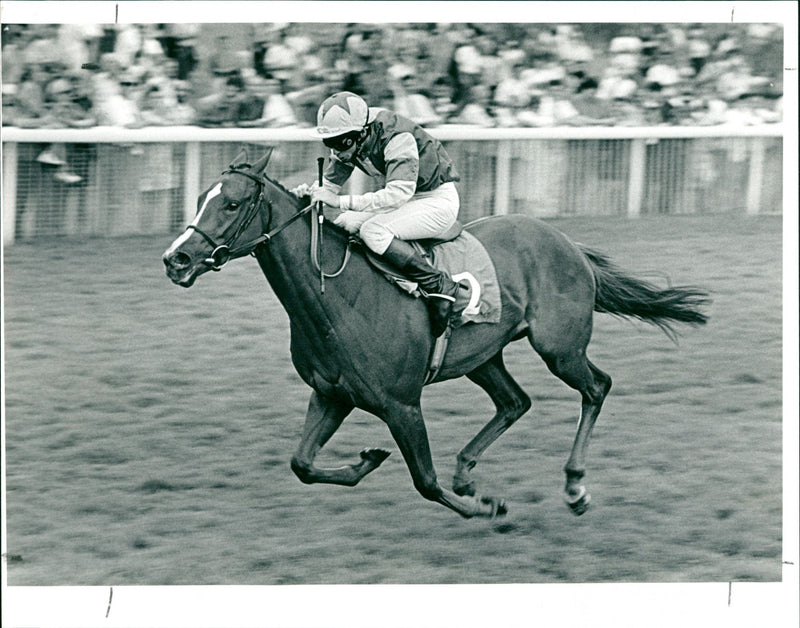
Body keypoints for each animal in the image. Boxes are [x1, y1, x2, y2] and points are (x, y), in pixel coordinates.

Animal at [161, 150, 708, 516]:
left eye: (232, 204)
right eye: (201, 199)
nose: (176, 259)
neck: (335, 298)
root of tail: (566, 242)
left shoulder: (401, 403)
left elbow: (424, 481)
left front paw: (488, 508)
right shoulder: (332, 393)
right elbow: (302, 464)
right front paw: (369, 459)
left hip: (559, 346)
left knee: (596, 387)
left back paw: (574, 487)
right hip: (483, 355)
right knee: (515, 402)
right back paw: (466, 470)